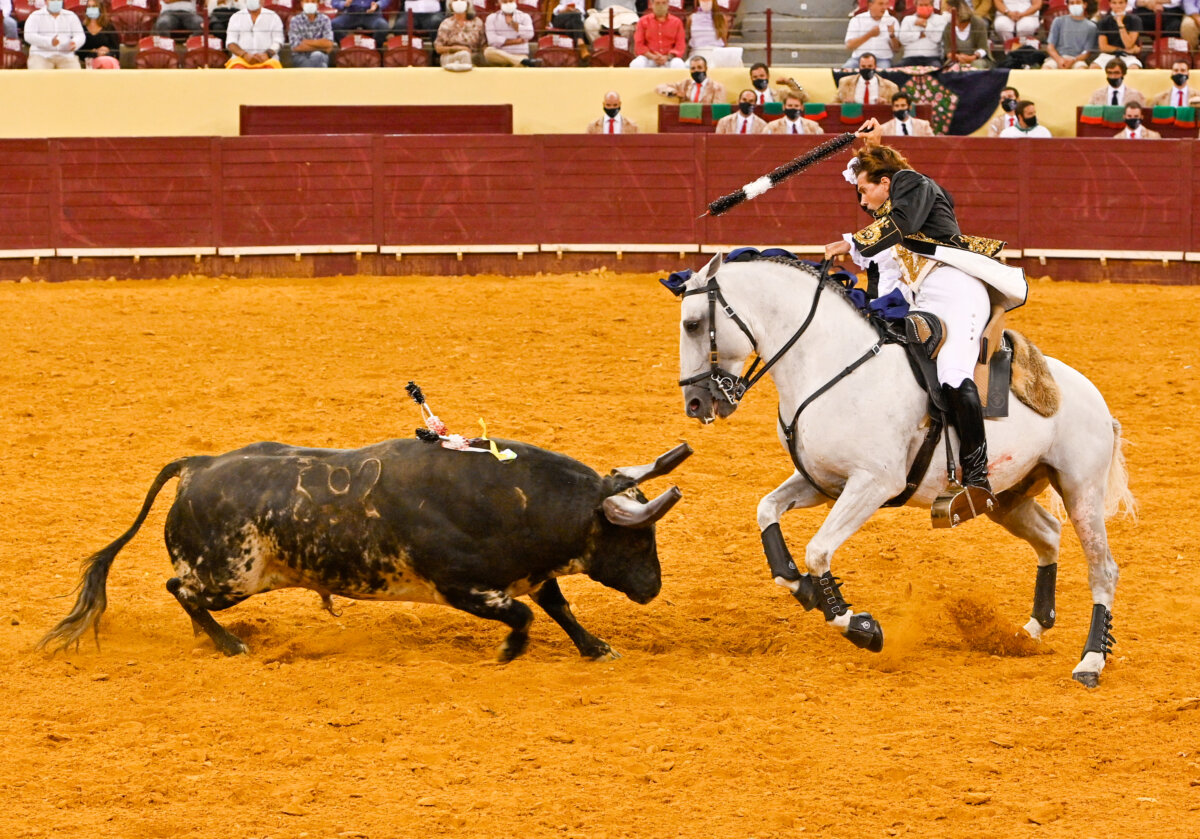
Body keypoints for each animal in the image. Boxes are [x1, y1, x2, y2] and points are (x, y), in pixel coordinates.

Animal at [38, 437, 691, 661]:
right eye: (637, 534)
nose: (653, 587)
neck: (511, 497)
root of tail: (197, 466)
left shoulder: (527, 573)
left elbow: (557, 607)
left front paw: (596, 648)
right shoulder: (462, 587)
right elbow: (526, 615)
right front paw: (508, 652)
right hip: (232, 577)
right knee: (180, 588)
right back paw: (228, 644)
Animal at [670, 253, 1134, 687]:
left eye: (692, 324)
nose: (695, 403)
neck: (833, 364)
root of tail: (1093, 396)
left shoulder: (874, 484)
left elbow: (818, 550)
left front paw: (860, 626)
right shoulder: (824, 483)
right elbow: (767, 513)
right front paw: (805, 590)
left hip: (1081, 491)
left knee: (1103, 570)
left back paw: (1091, 661)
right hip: (1008, 498)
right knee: (1049, 535)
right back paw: (1028, 631)